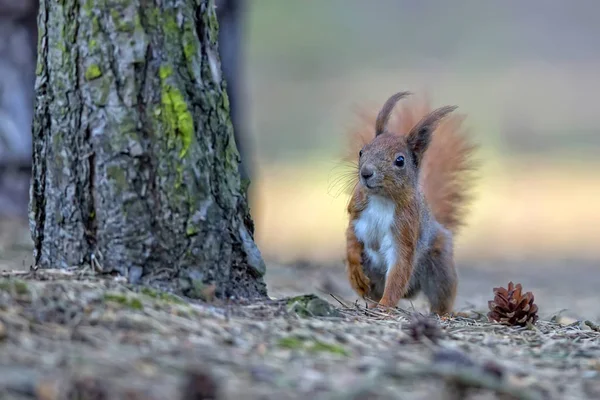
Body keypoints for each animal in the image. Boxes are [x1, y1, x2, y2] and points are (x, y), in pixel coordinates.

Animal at [344, 91, 476, 316]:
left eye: (400, 160)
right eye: (362, 151)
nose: (366, 173)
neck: (382, 199)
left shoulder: (405, 230)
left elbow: (399, 269)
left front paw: (386, 305)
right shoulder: (357, 213)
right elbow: (352, 241)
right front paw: (355, 272)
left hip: (440, 266)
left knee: (440, 296)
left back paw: (446, 314)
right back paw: (371, 301)